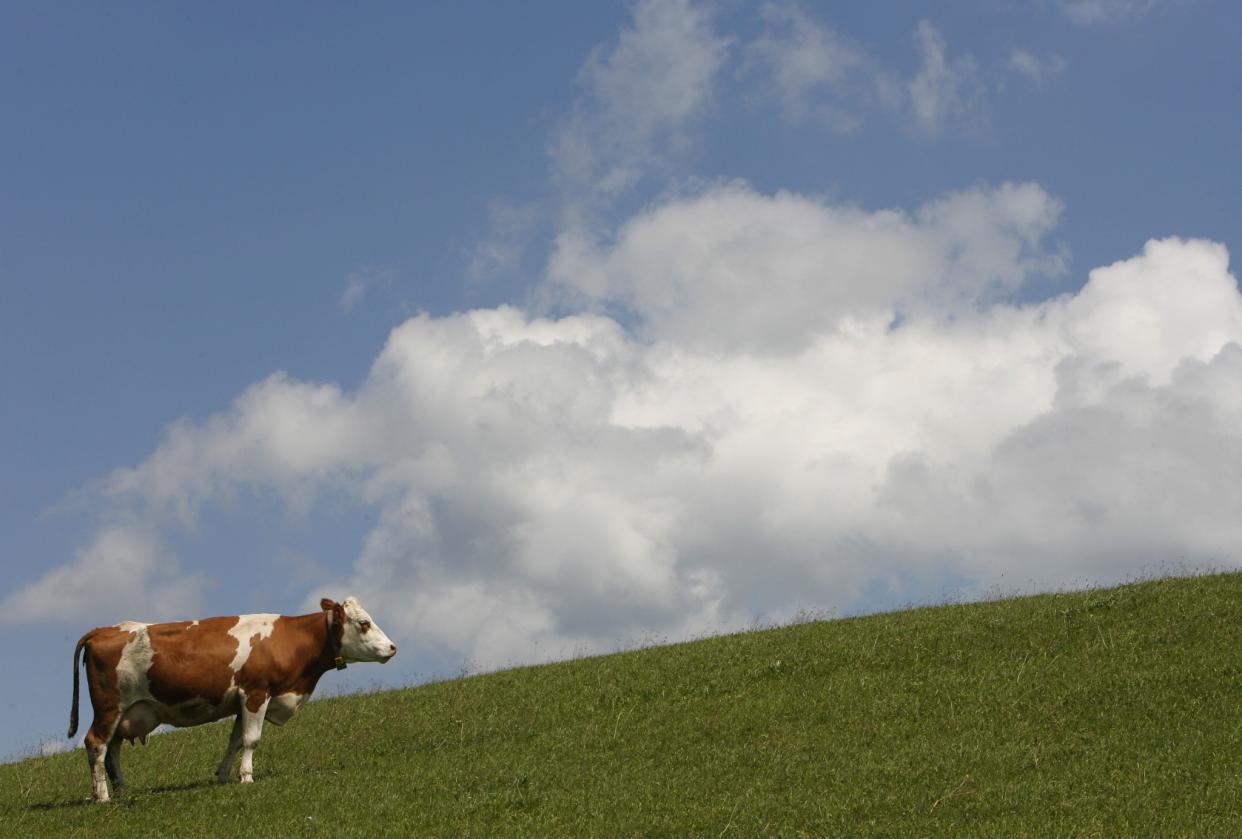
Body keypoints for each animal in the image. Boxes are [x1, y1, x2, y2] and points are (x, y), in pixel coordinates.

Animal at [66, 595, 392, 799]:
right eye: (363, 623)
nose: (392, 647)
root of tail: (104, 630)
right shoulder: (257, 693)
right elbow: (251, 739)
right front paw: (247, 776)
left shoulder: (242, 701)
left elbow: (234, 740)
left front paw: (223, 775)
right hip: (109, 707)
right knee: (96, 744)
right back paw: (102, 797)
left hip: (125, 713)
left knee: (113, 750)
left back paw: (120, 791)